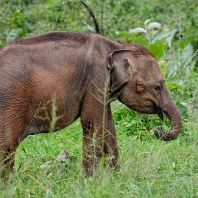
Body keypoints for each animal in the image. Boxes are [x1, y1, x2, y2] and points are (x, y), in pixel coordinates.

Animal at [0, 31, 182, 178]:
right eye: (158, 86)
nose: (159, 130)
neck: (118, 46)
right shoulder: (96, 78)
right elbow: (93, 124)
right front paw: (91, 181)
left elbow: (108, 126)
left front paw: (114, 178)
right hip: (11, 101)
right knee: (7, 144)